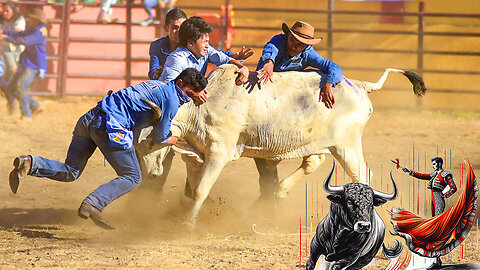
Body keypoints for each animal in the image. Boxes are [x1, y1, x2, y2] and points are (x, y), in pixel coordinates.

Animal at [135, 64, 424, 227]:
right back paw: (277, 192)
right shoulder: (195, 156)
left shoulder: (219, 154)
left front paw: (187, 224)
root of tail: (360, 86)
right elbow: (192, 189)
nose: (150, 174)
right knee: (312, 162)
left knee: (362, 175)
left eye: (148, 141)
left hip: (347, 146)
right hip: (325, 144)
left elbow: (200, 191)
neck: (202, 105)